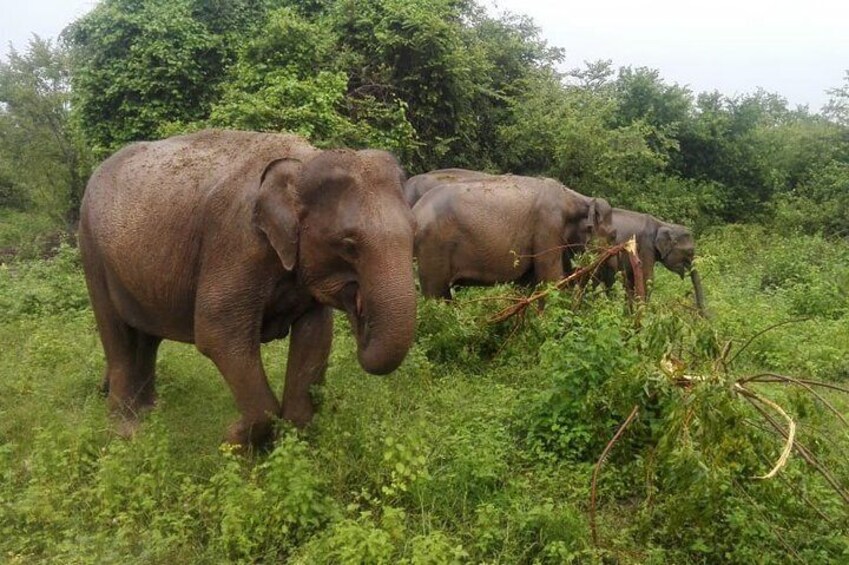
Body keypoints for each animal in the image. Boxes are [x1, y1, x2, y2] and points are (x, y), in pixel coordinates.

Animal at [78, 130, 416, 448]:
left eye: (414, 232)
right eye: (348, 244)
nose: (361, 313)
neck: (303, 162)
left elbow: (315, 334)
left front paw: (288, 441)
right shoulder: (238, 241)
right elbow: (218, 333)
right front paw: (234, 441)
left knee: (147, 338)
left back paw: (151, 409)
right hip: (92, 248)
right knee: (117, 336)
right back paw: (126, 430)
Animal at [410, 173, 612, 300]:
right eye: (612, 235)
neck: (577, 198)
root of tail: (415, 211)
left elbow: (528, 283)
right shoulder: (548, 224)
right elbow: (550, 279)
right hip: (433, 246)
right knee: (436, 295)